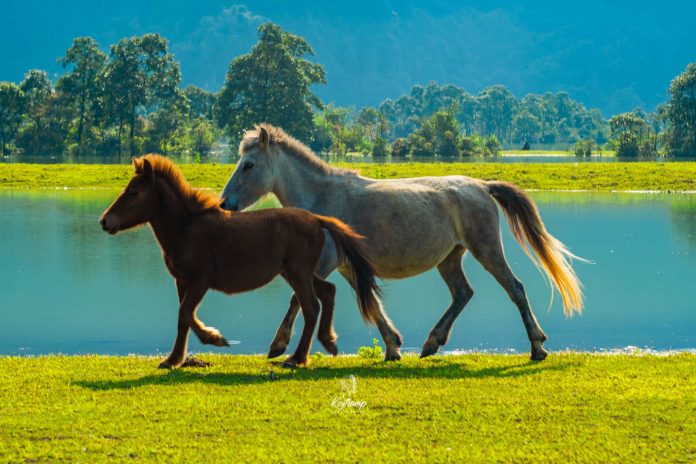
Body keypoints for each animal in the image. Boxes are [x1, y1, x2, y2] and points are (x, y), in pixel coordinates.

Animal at [98, 154, 380, 368]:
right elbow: (183, 318)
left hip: (298, 273)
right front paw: (174, 359)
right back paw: (328, 341)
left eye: (134, 191)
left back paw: (296, 358)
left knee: (311, 307)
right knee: (328, 292)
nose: (104, 220)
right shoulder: (182, 280)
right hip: (298, 272)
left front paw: (214, 338)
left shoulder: (200, 280)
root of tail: (316, 220)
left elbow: (186, 313)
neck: (188, 229)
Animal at [222, 125, 580, 360]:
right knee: (462, 293)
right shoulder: (348, 267)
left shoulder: (322, 264)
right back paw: (431, 343)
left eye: (249, 165)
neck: (323, 198)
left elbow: (298, 299)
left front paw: (278, 346)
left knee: (515, 289)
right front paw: (393, 346)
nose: (225, 203)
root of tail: (481, 185)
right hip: (450, 258)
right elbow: (372, 304)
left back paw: (537, 347)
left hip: (486, 250)